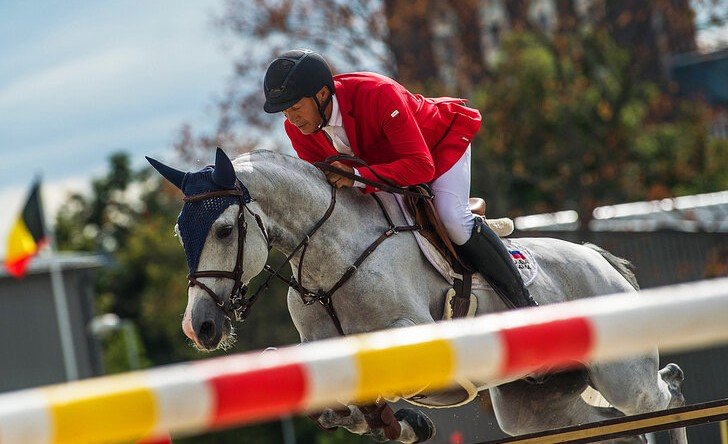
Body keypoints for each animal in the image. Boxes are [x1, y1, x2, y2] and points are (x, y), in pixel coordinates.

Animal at [149, 150, 688, 444]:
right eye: (180, 233)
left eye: (223, 229)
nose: (199, 327)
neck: (333, 260)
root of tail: (602, 260)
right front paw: (381, 421)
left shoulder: (417, 337)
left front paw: (396, 421)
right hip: (534, 408)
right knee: (619, 424)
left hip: (623, 376)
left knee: (661, 398)